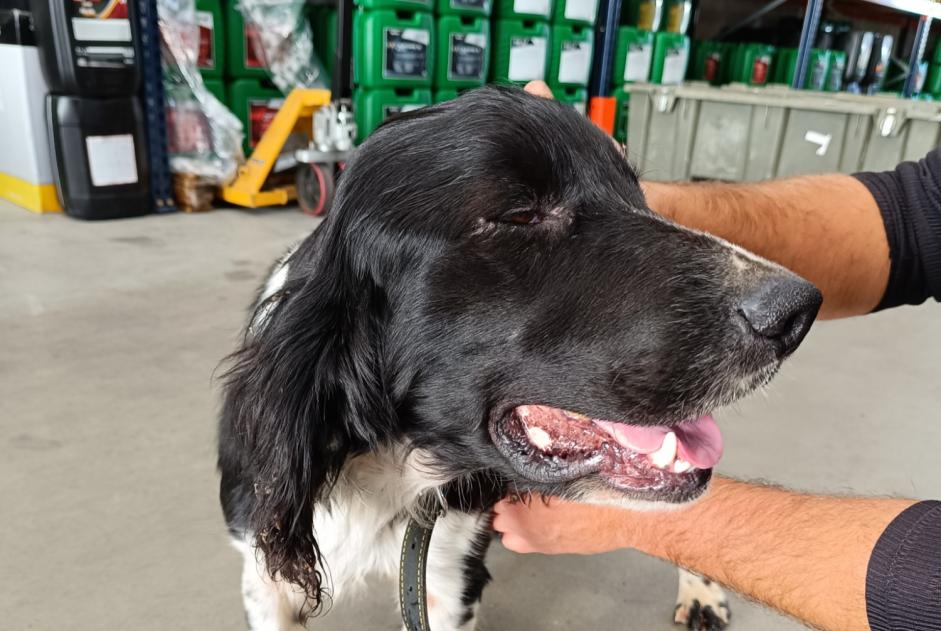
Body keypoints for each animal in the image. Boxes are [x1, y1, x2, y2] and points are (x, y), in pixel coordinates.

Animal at [217, 87, 820, 631]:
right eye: (520, 214)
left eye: (639, 196)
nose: (796, 312)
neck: (387, 461)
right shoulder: (262, 576)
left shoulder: (449, 580)